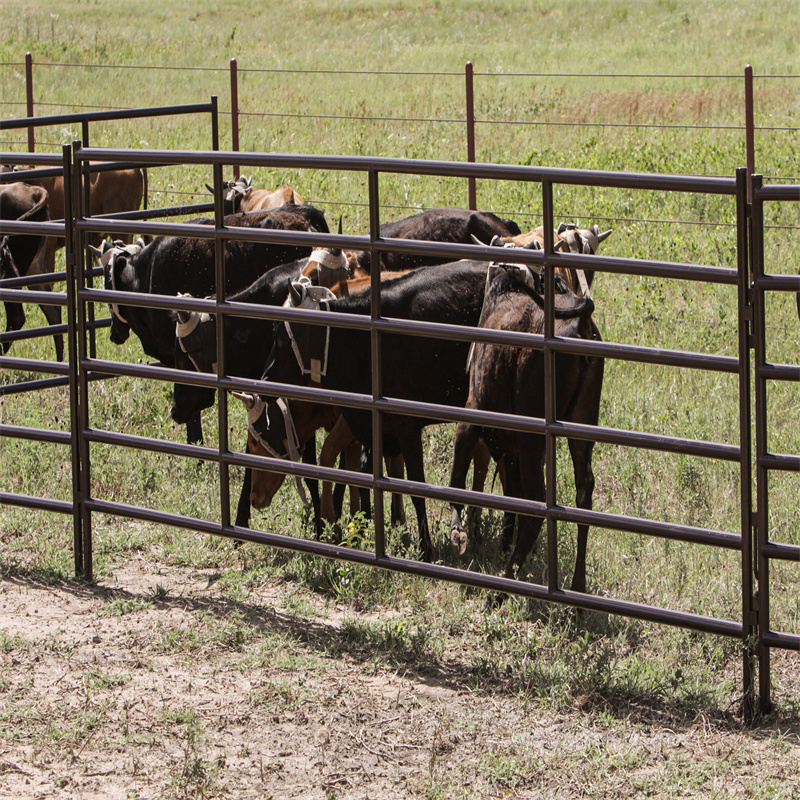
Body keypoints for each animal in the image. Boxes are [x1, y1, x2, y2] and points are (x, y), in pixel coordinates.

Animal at [446, 264, 604, 592]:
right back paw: (577, 585)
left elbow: (458, 478)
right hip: (581, 425)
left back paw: (501, 589)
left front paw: (458, 532)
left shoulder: (471, 412)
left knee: (536, 504)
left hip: (532, 436)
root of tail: (580, 321)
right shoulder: (511, 452)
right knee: (583, 492)